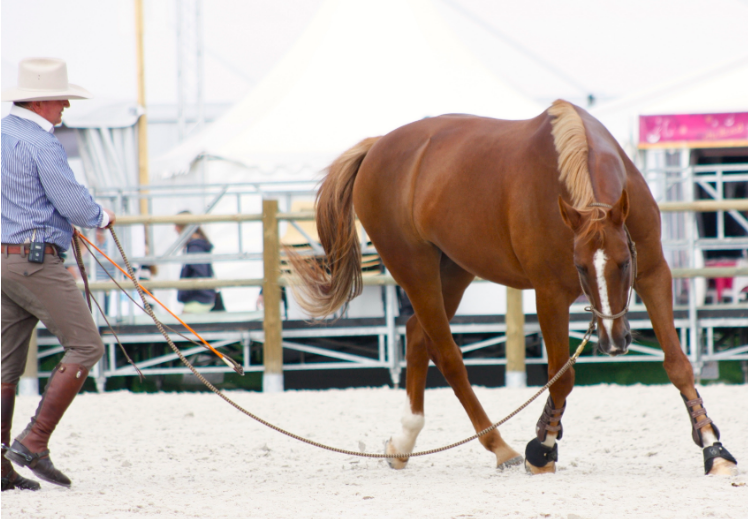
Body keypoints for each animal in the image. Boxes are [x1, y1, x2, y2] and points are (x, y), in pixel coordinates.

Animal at [290, 99, 736, 478]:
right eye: (579, 267)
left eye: (625, 263)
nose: (613, 342)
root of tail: (377, 147)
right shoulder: (549, 294)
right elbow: (561, 377)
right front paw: (543, 448)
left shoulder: (655, 273)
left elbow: (678, 364)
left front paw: (712, 447)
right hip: (413, 268)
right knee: (447, 354)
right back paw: (497, 445)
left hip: (453, 270)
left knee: (418, 334)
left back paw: (404, 440)